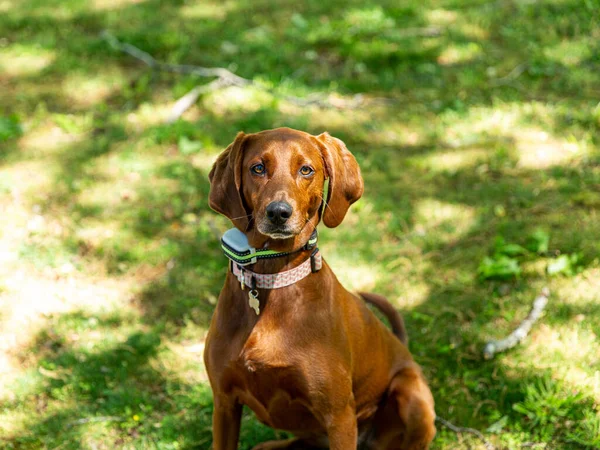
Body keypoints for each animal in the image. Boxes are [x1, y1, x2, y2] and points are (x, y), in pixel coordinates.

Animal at [204, 128, 434, 448]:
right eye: (258, 168)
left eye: (306, 170)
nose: (278, 212)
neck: (273, 277)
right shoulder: (224, 404)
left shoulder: (339, 417)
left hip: (410, 395)